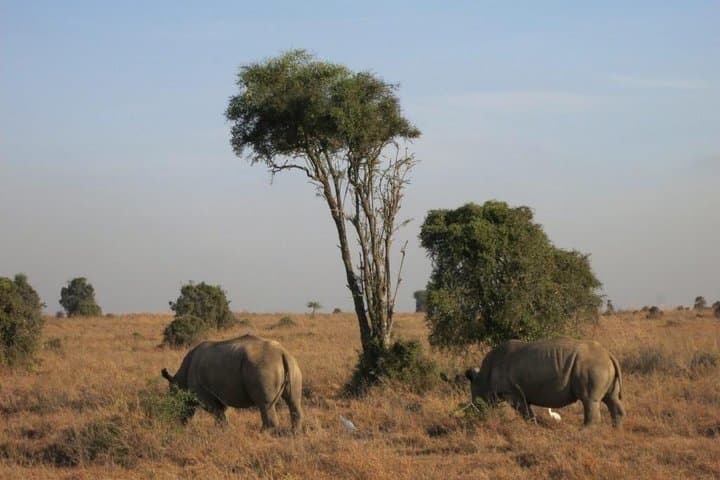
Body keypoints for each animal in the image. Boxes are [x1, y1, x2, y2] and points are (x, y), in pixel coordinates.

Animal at [161, 334, 303, 432]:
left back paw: (263, 433)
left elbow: (217, 412)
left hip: (264, 367)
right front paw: (224, 430)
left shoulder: (203, 394)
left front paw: (225, 431)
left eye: (175, 401)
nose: (180, 423)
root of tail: (282, 352)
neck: (180, 379)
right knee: (293, 401)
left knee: (265, 404)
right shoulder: (220, 392)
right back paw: (294, 433)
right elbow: (222, 411)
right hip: (292, 364)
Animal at [465, 337, 625, 427]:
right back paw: (615, 429)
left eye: (476, 398)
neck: (484, 377)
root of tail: (608, 354)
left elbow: (525, 411)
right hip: (601, 365)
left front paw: (533, 427)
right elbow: (527, 410)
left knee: (589, 400)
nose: (475, 412)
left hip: (592, 366)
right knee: (611, 398)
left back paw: (583, 432)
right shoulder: (520, 392)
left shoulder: (512, 393)